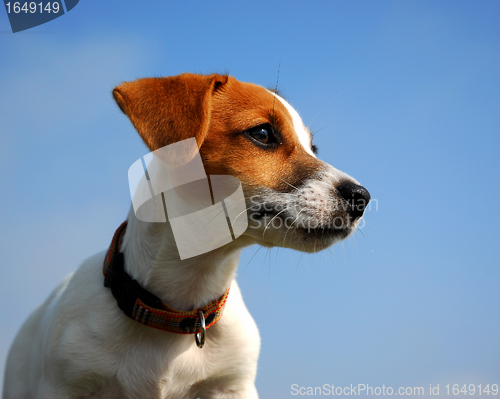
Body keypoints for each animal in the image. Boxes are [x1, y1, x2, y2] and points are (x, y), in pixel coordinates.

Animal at [1, 73, 370, 398]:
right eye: (263, 133)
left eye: (313, 148)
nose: (362, 198)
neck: (180, 308)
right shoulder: (67, 383)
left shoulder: (232, 386)